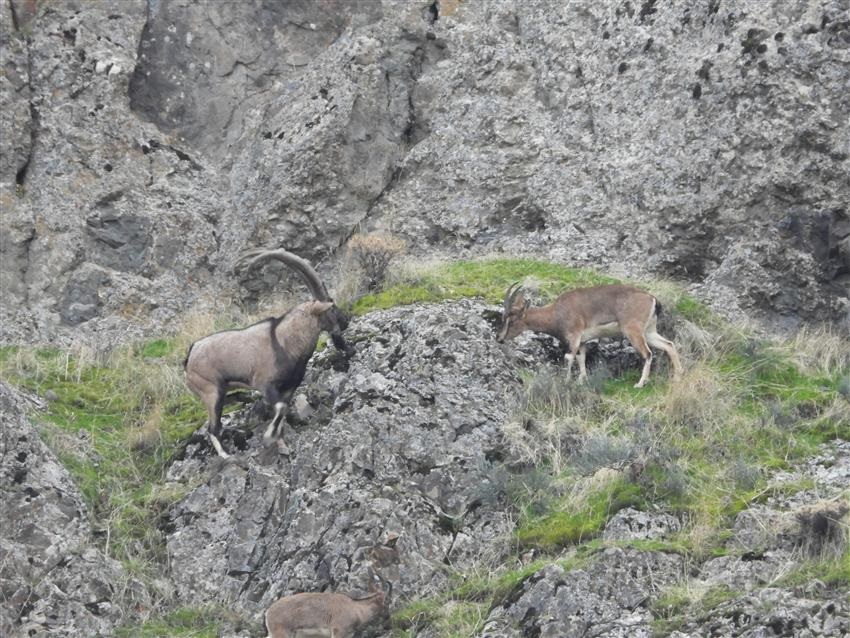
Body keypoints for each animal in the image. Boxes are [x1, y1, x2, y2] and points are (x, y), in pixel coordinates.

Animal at [184, 248, 350, 458]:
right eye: (332, 306)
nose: (346, 321)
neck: (285, 341)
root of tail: (189, 357)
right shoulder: (265, 384)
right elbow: (279, 408)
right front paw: (269, 437)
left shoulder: (288, 389)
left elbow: (282, 411)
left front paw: (283, 446)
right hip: (211, 391)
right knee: (213, 428)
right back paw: (227, 455)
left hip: (217, 391)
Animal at [496, 284, 684, 390]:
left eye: (511, 319)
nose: (499, 339)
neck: (556, 312)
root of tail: (652, 299)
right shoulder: (582, 341)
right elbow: (581, 359)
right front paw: (581, 381)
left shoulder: (574, 336)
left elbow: (569, 357)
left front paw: (567, 382)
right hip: (649, 332)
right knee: (669, 345)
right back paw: (677, 377)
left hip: (633, 331)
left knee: (648, 354)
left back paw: (640, 384)